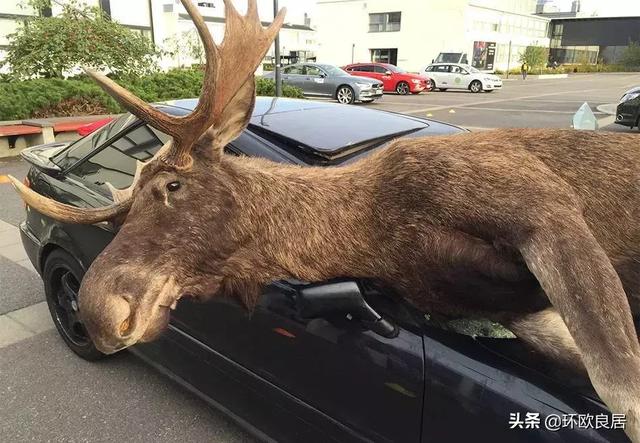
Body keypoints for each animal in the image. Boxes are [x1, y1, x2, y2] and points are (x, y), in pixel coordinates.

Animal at [8, 0, 640, 441]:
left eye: (171, 185)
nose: (97, 309)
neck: (382, 232)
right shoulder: (517, 307)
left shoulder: (542, 206)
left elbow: (620, 387)